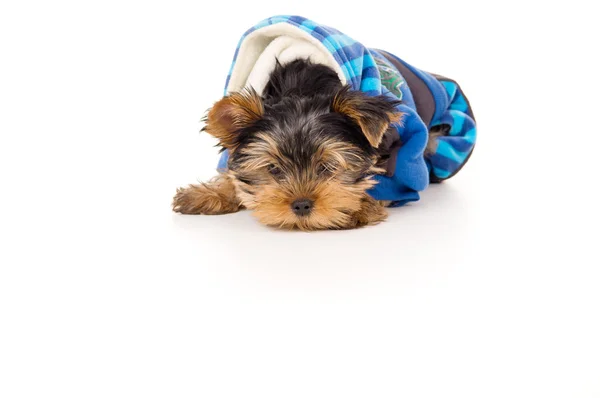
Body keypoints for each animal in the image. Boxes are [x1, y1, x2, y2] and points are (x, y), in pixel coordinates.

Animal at [172, 59, 404, 230]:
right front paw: (207, 194)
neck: (301, 89)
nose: (301, 205)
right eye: (273, 168)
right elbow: (232, 174)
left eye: (327, 167)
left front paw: (357, 207)